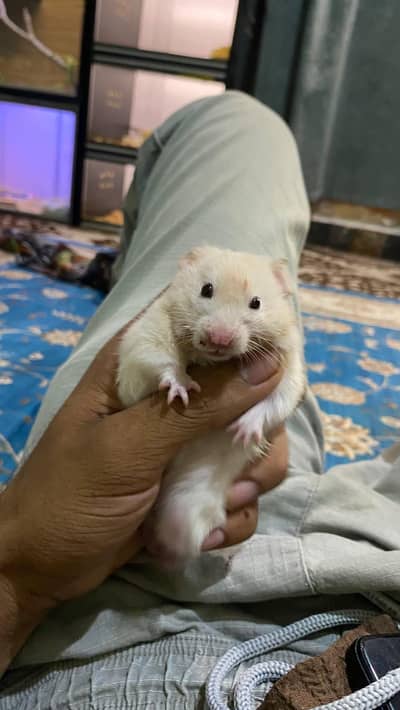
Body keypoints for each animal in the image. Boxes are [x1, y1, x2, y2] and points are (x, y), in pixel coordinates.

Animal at [117, 245, 305, 564]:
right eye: (206, 290)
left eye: (256, 303)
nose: (220, 339)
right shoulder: (149, 331)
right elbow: (161, 358)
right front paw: (182, 391)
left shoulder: (288, 368)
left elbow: (274, 402)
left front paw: (242, 433)